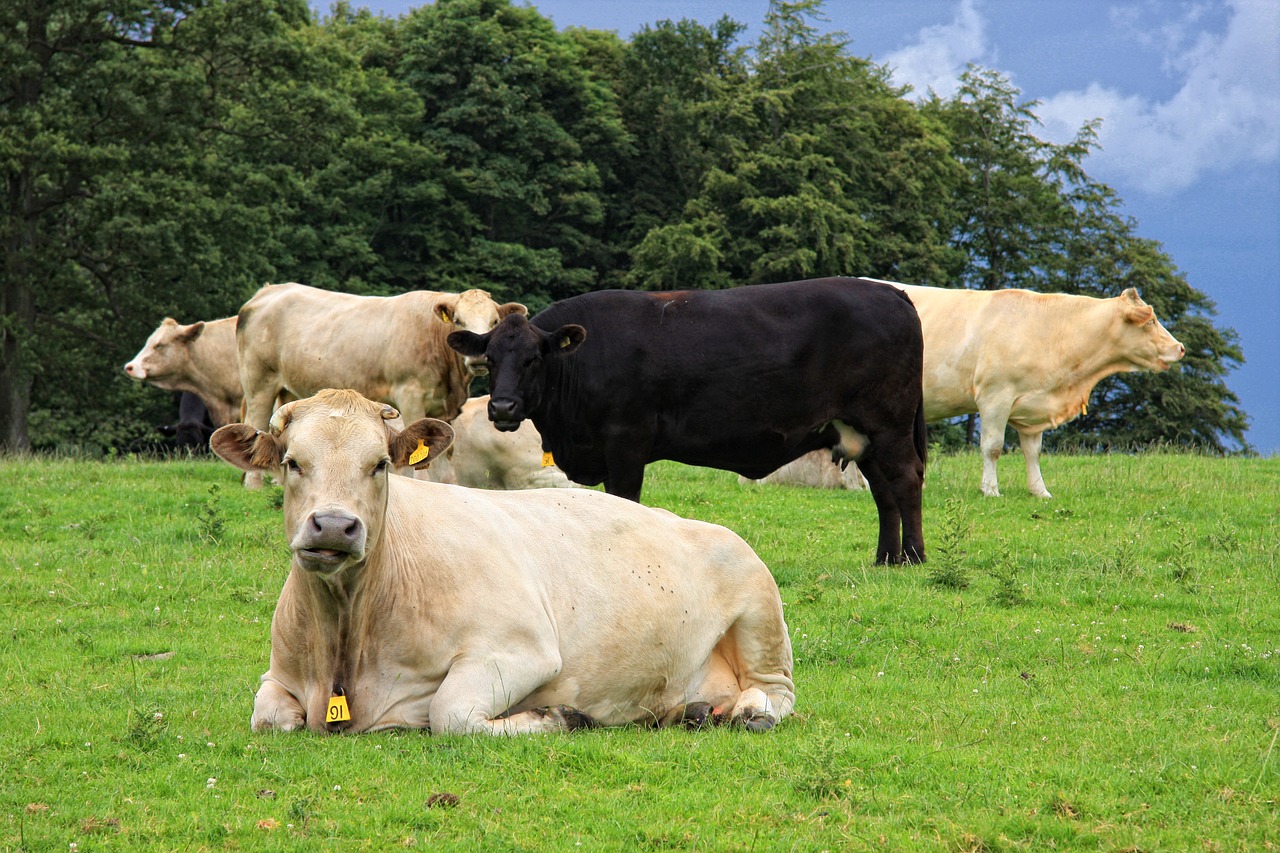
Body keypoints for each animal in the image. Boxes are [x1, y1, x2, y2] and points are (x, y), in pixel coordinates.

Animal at [209, 389, 795, 735]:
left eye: (379, 465)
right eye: (292, 462)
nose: (333, 526)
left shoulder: (523, 650)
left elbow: (450, 713)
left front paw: (558, 716)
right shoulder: (279, 672)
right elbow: (268, 717)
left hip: (758, 606)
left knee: (776, 690)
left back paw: (749, 712)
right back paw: (692, 710)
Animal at [235, 283, 526, 487]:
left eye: (494, 322)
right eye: (458, 321)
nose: (478, 358)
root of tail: (268, 291)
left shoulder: (446, 409)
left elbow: (446, 452)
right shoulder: (411, 396)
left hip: (285, 389)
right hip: (259, 380)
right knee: (256, 421)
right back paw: (253, 484)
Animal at [447, 278, 927, 565]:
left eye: (533, 359)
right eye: (490, 359)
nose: (502, 408)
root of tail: (889, 290)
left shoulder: (626, 441)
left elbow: (625, 499)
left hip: (889, 424)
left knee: (905, 481)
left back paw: (915, 557)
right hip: (862, 434)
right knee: (884, 492)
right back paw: (887, 559)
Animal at [880, 281, 1186, 498]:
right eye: (1151, 321)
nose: (1180, 347)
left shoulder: (1034, 405)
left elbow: (1033, 452)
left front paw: (1040, 491)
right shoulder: (995, 396)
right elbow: (993, 447)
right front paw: (990, 489)